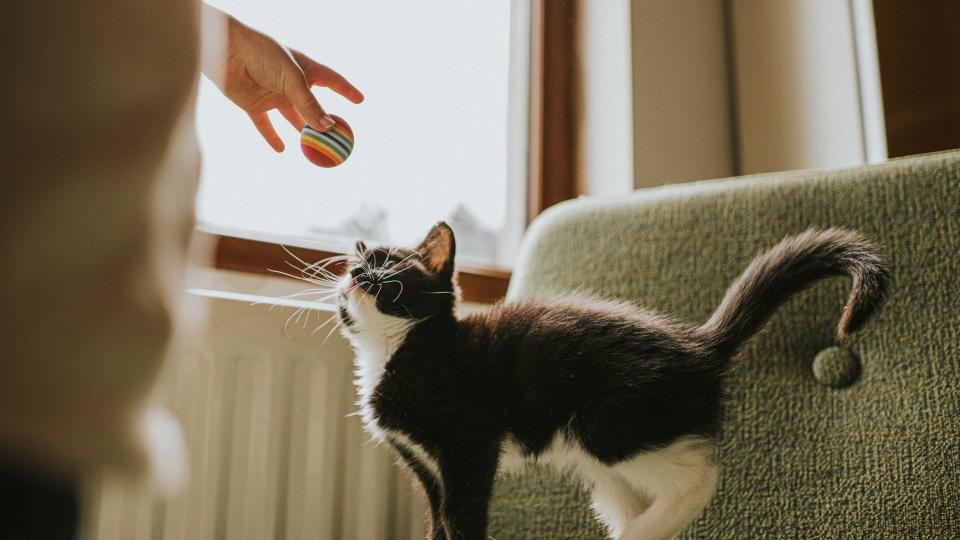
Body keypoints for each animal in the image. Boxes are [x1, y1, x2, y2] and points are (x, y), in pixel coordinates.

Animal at [334, 221, 888, 536]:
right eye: (352, 267)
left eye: (386, 265)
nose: (356, 274)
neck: (398, 349)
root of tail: (694, 346)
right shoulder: (425, 465)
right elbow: (439, 519)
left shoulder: (470, 443)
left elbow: (461, 515)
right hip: (604, 461)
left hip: (610, 426)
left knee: (699, 476)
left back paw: (645, 531)